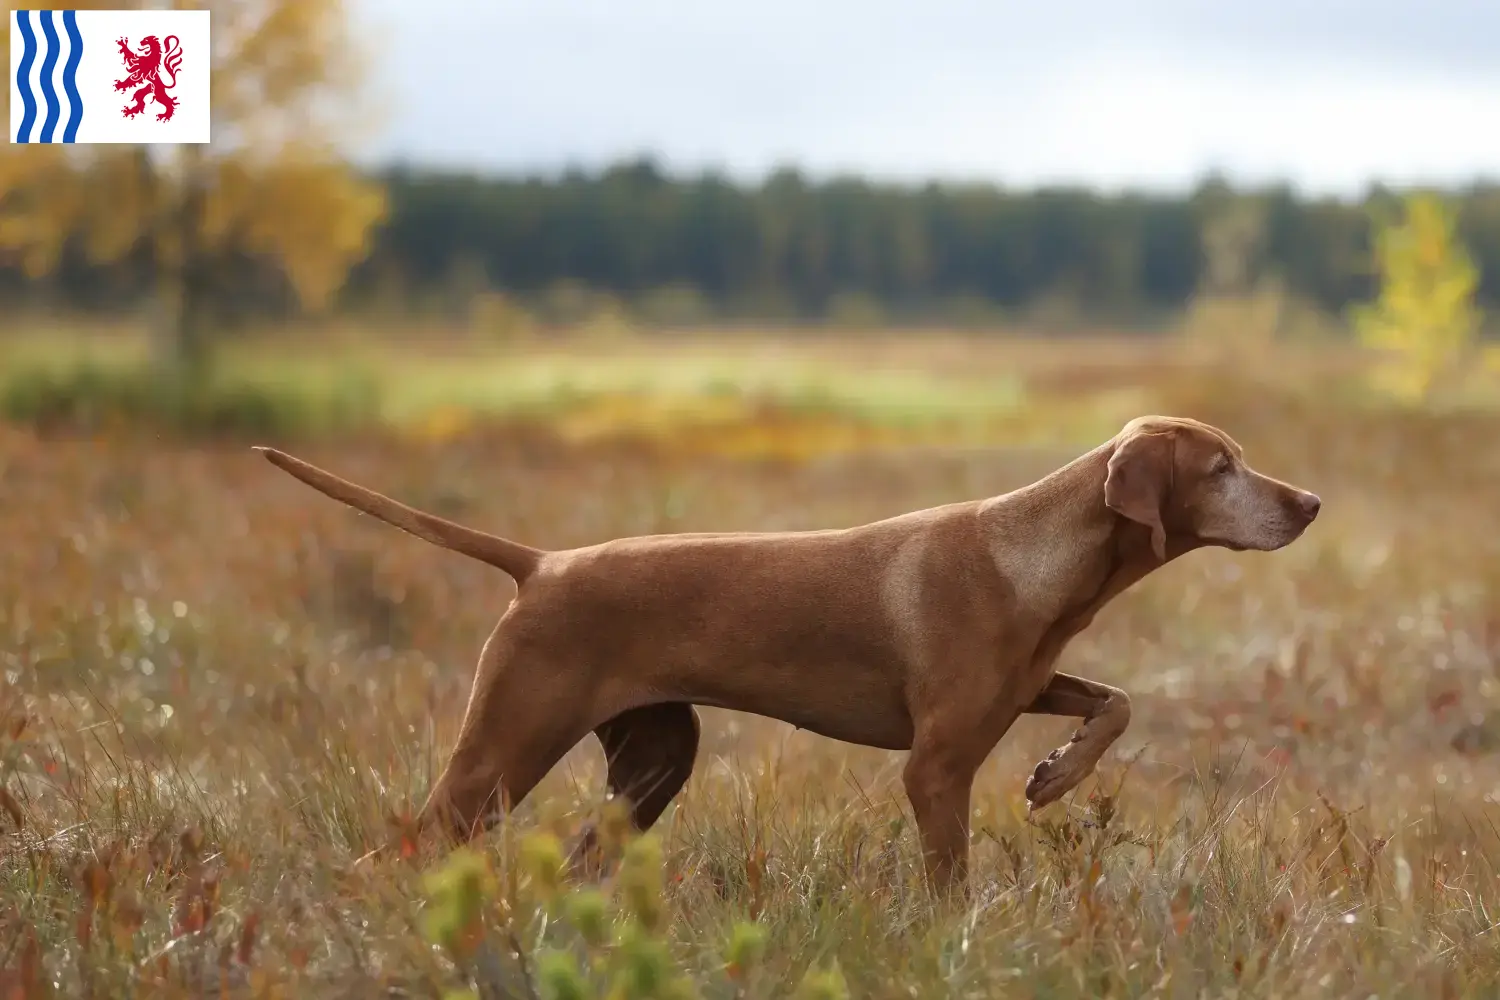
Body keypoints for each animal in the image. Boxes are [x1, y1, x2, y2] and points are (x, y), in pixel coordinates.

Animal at [252, 413, 1320, 893]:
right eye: (1221, 468)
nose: (1310, 503)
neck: (1037, 558)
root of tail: (544, 564)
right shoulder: (936, 767)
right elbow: (950, 881)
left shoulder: (1025, 689)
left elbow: (1117, 701)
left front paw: (1058, 774)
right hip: (504, 752)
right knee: (401, 845)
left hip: (656, 759)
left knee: (585, 858)